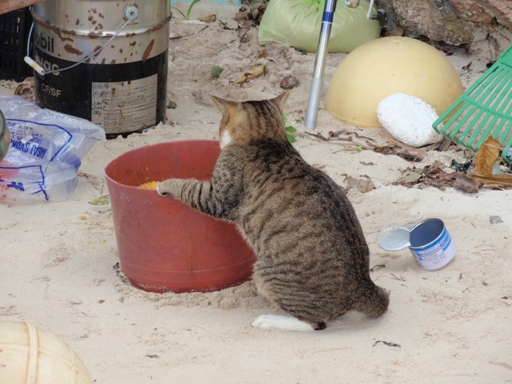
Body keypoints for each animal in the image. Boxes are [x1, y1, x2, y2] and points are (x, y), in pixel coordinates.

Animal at [156, 92, 388, 330]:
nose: (218, 135)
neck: (266, 137)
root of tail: (363, 286)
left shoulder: (218, 198)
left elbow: (189, 187)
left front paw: (164, 184)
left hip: (266, 273)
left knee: (315, 322)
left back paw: (269, 319)